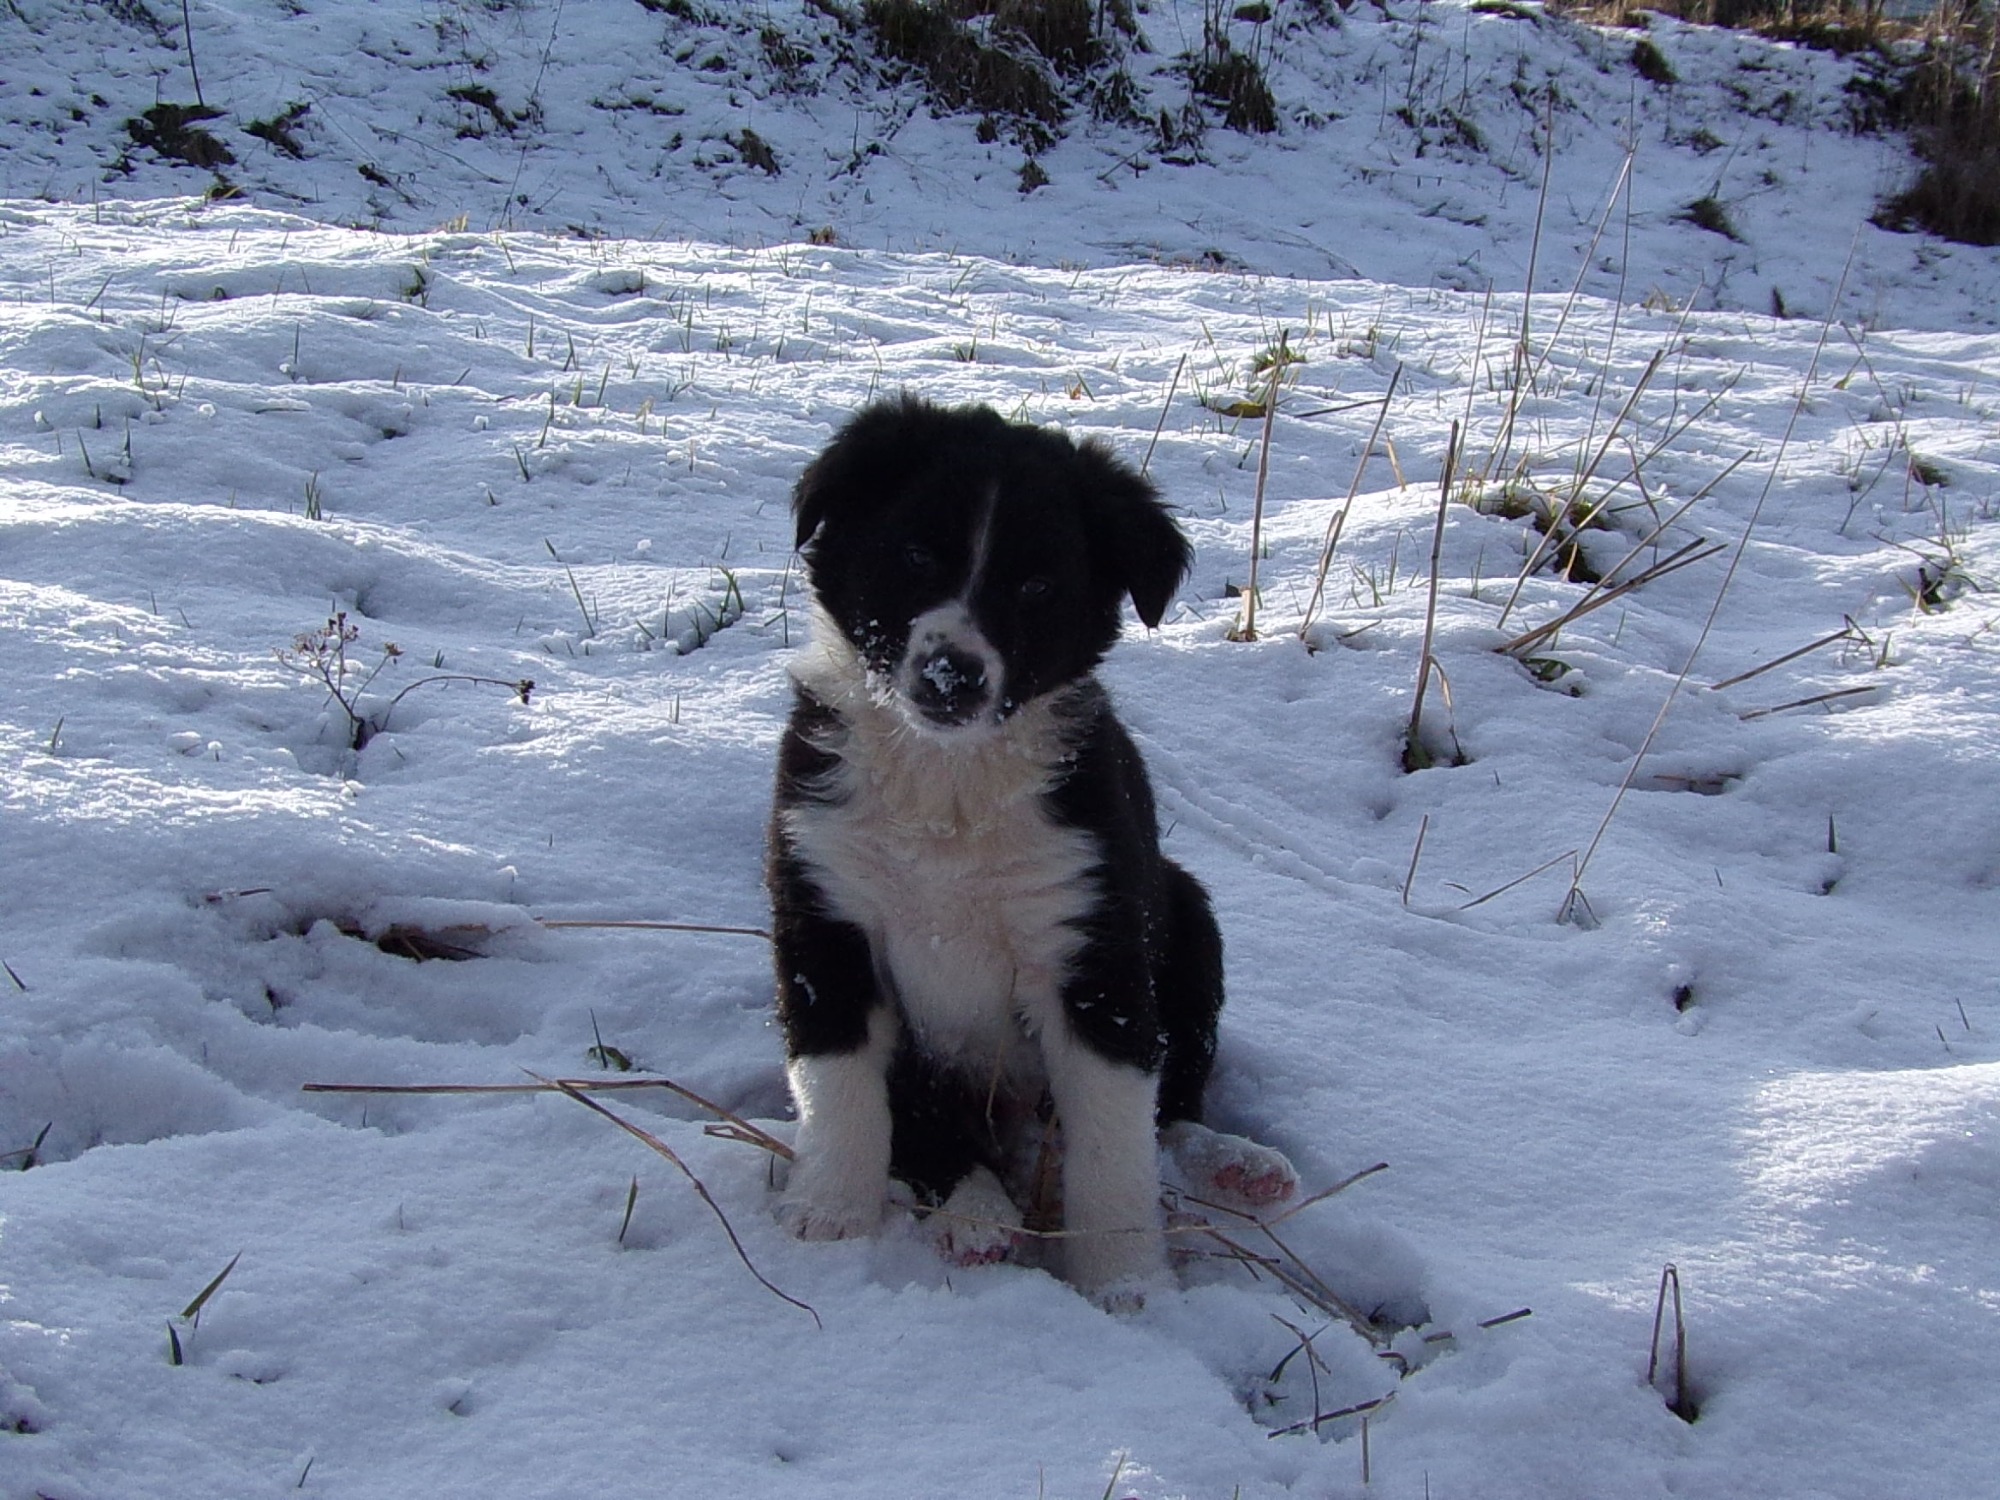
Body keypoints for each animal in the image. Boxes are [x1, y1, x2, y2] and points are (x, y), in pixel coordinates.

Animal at [767, 396, 1295, 1299]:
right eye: (914, 554)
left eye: (1039, 585)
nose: (951, 675)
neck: (947, 784)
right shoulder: (822, 917)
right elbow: (840, 1085)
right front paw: (829, 1216)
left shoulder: (1093, 952)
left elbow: (1114, 1146)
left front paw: (1124, 1282)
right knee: (931, 1131)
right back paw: (975, 1214)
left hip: (1189, 919)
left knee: (1174, 1099)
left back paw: (1235, 1162)